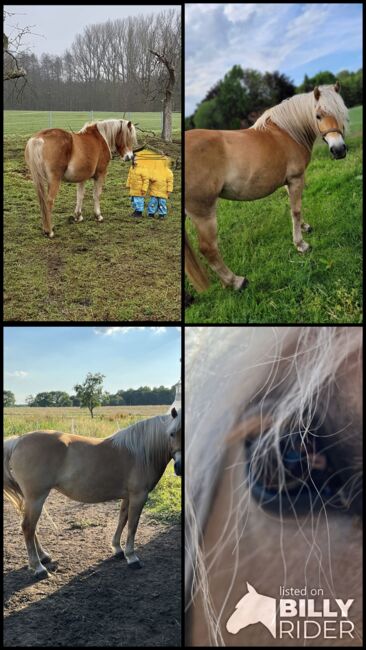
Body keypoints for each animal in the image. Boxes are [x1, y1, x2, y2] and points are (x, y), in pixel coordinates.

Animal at [2, 404, 180, 576]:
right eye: (171, 434)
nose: (179, 467)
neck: (140, 452)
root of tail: (18, 441)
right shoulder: (139, 496)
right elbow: (133, 525)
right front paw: (132, 557)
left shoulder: (128, 496)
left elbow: (122, 519)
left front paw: (117, 549)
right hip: (36, 498)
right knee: (28, 527)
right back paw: (38, 568)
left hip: (32, 499)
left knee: (30, 528)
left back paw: (44, 557)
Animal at [186, 82, 348, 290]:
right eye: (318, 115)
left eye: (341, 111)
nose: (339, 150)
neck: (288, 132)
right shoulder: (296, 178)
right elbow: (296, 210)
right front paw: (301, 244)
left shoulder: (290, 181)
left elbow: (295, 208)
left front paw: (304, 226)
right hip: (203, 212)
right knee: (208, 248)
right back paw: (236, 281)